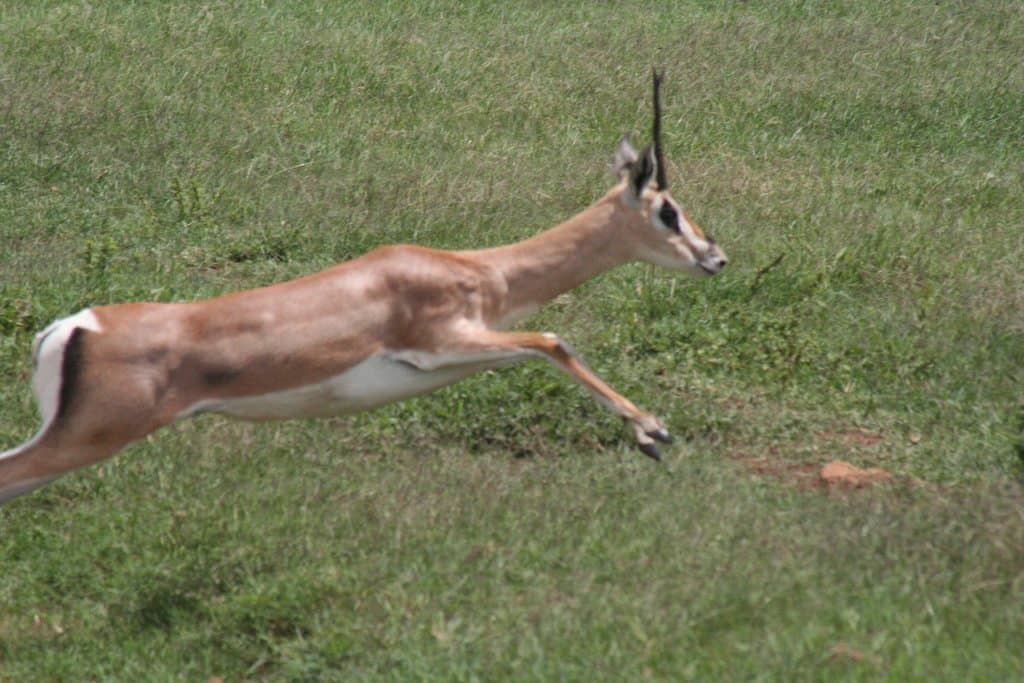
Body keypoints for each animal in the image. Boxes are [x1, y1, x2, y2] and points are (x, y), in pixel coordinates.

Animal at [0, 73, 729, 507]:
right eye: (668, 210)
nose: (715, 258)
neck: (478, 269)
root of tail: (72, 328)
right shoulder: (442, 343)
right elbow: (551, 338)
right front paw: (652, 431)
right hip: (91, 435)